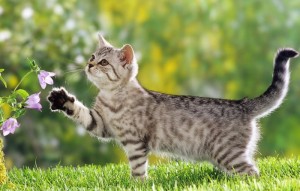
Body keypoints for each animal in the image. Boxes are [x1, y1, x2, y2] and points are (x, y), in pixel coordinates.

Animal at [47, 33, 298, 178]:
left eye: (104, 62)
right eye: (92, 56)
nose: (89, 65)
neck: (112, 97)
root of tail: (243, 104)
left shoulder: (135, 142)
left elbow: (138, 169)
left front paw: (137, 184)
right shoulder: (101, 124)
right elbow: (81, 113)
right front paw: (62, 99)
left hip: (228, 154)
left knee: (253, 174)